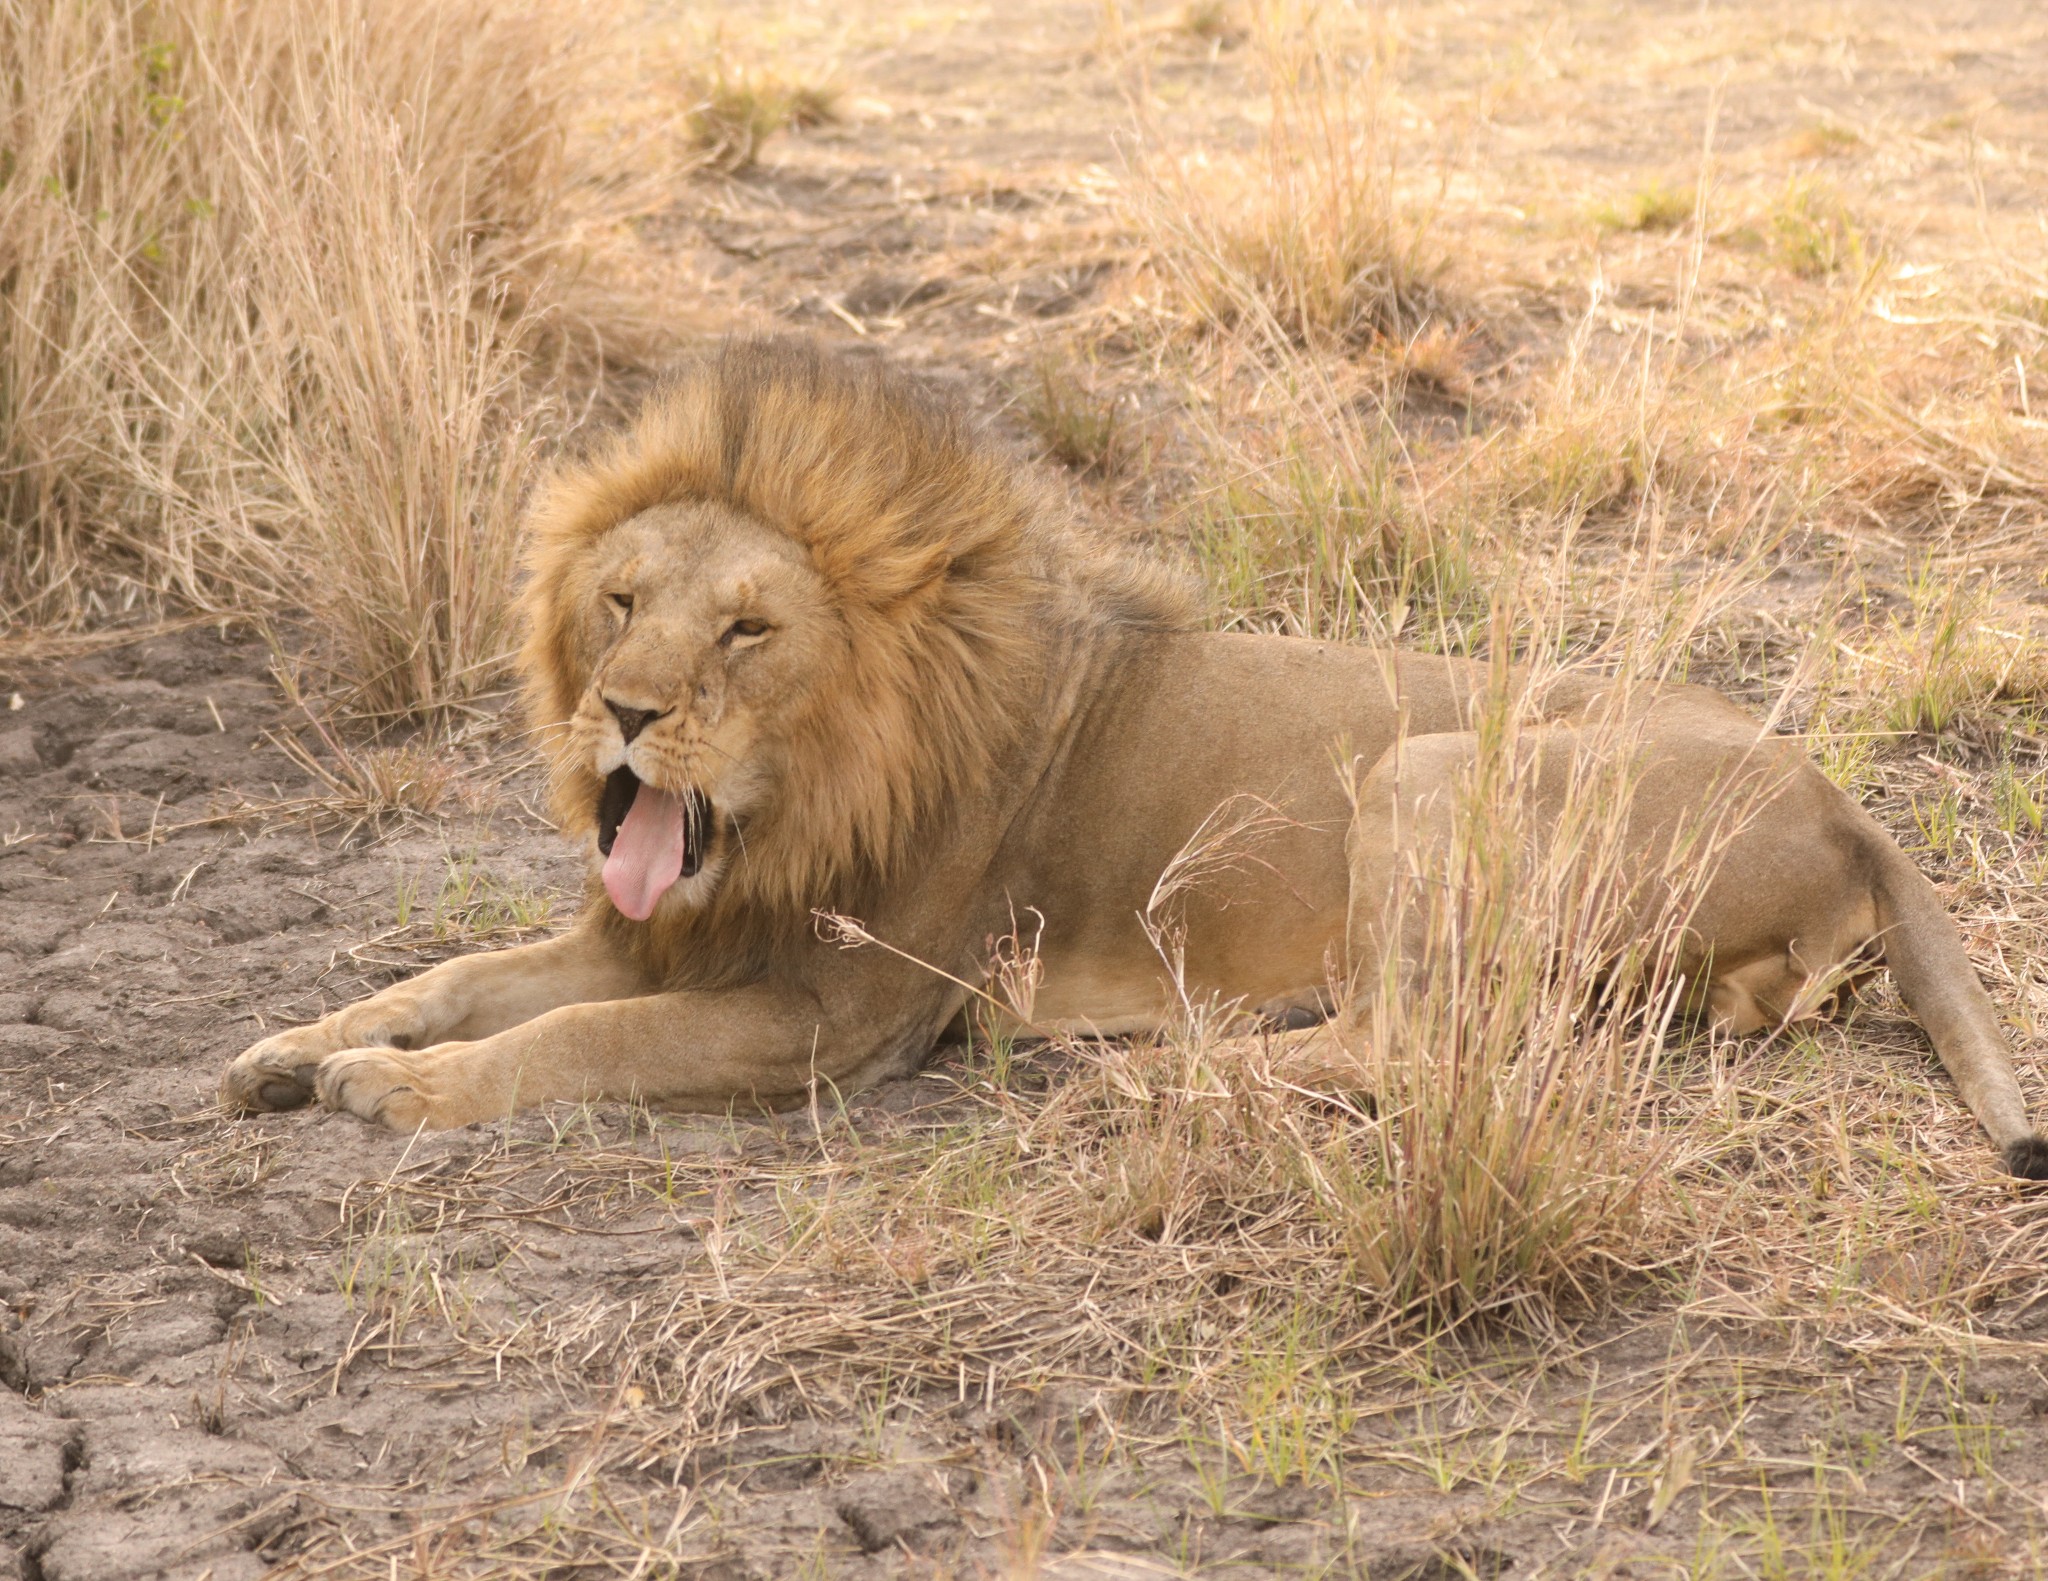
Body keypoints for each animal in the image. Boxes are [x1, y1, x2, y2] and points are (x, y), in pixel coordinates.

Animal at [224, 335, 2048, 1171]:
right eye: (617, 601)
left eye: (745, 629)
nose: (623, 712)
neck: (811, 792)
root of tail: (1847, 803)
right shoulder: (665, 925)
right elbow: (457, 976)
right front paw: (292, 1050)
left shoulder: (838, 1016)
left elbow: (574, 1041)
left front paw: (396, 1093)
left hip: (1424, 772)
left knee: (1423, 1047)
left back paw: (1157, 1071)